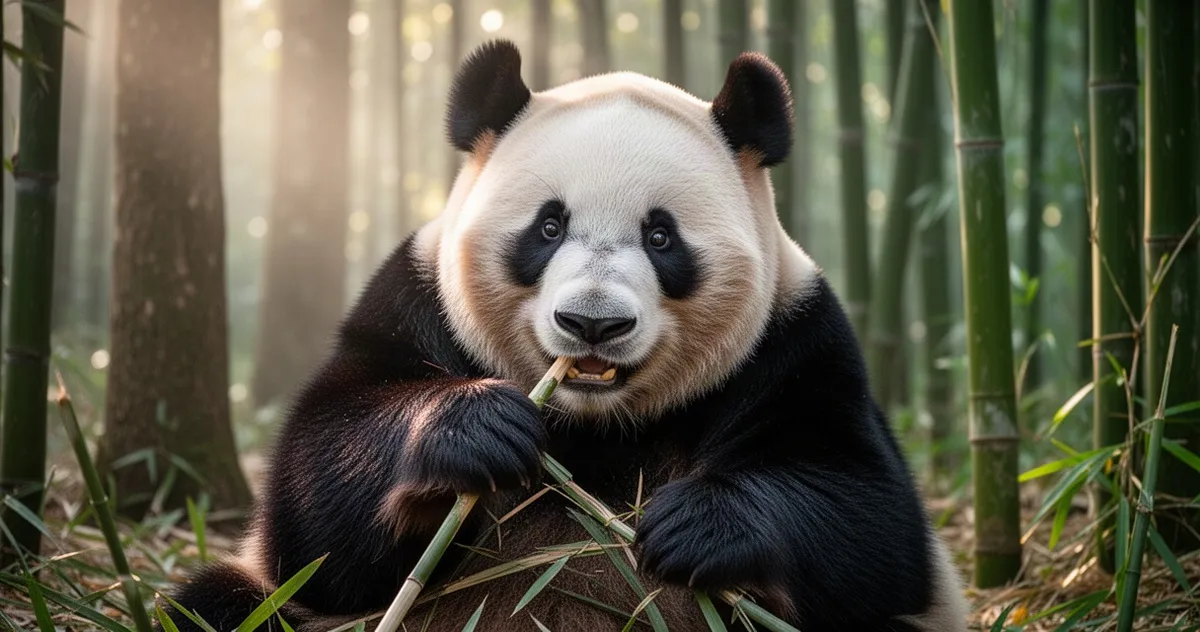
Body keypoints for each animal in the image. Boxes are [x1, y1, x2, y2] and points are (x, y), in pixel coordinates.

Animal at [160, 40, 969, 632]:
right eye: (549, 226)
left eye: (661, 237)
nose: (593, 324)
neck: (594, 427)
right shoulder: (414, 304)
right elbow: (318, 502)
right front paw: (478, 427)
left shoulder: (793, 340)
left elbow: (866, 515)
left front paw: (694, 524)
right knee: (219, 602)